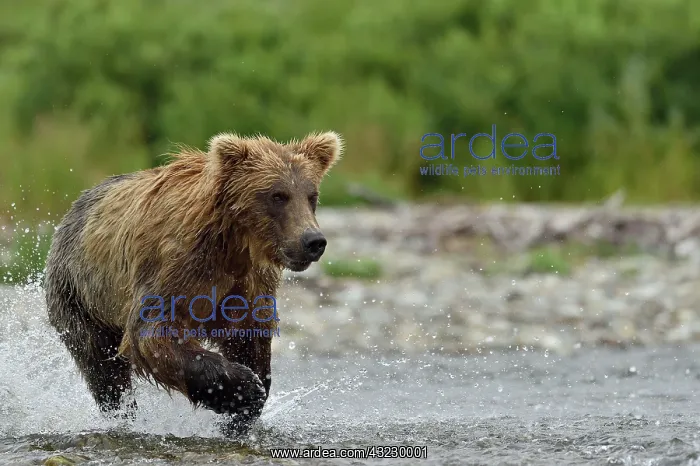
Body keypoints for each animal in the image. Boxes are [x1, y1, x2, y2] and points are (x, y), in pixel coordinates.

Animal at [44, 131, 343, 435]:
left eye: (312, 195)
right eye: (277, 195)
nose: (312, 241)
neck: (233, 243)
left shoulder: (249, 283)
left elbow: (249, 337)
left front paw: (243, 410)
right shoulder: (175, 265)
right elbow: (153, 333)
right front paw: (244, 389)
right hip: (80, 296)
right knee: (103, 368)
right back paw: (121, 414)